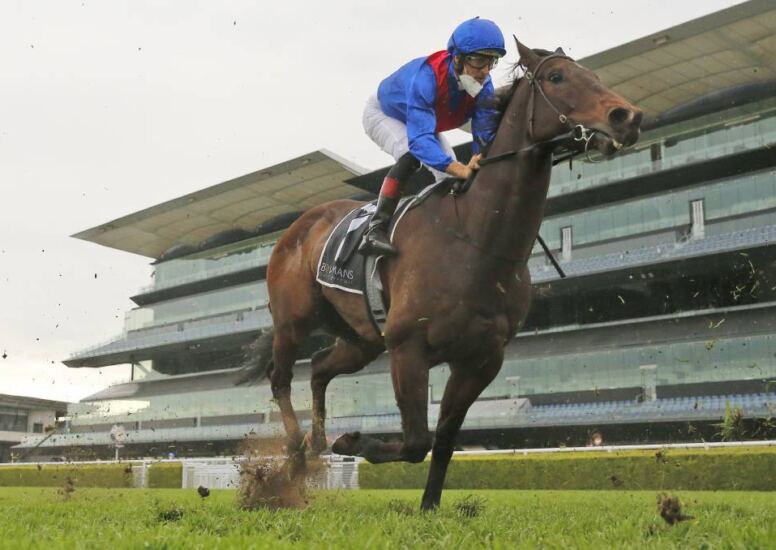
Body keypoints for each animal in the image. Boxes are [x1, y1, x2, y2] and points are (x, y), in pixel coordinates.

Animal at [242, 38, 643, 510]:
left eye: (593, 75)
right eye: (557, 77)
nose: (627, 117)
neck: (476, 240)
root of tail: (298, 226)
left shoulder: (480, 359)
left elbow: (444, 440)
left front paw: (429, 507)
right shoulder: (408, 349)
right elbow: (418, 440)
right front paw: (353, 441)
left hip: (361, 338)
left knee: (320, 368)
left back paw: (313, 446)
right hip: (294, 321)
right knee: (281, 378)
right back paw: (293, 455)